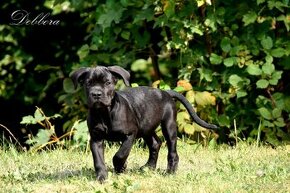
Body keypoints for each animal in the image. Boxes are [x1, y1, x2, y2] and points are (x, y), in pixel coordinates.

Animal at [70, 65, 216, 182]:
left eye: (107, 82)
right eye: (88, 83)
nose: (96, 94)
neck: (104, 113)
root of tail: (165, 92)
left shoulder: (130, 134)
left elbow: (120, 154)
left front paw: (120, 167)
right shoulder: (96, 139)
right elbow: (98, 160)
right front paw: (102, 177)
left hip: (168, 126)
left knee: (172, 151)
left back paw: (170, 172)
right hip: (147, 128)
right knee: (155, 143)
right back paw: (149, 167)